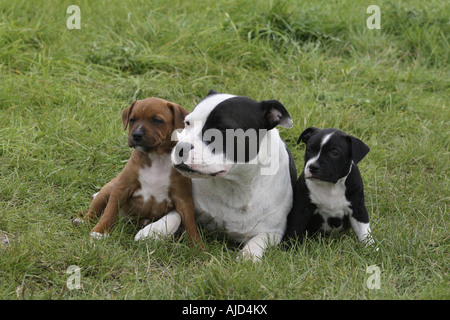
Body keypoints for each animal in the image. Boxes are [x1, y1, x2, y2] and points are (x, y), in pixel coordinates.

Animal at [74, 97, 201, 245]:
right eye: (132, 119)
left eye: (156, 120)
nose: (136, 135)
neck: (156, 158)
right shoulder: (122, 187)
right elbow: (109, 211)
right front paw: (99, 232)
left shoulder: (183, 198)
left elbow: (190, 223)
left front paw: (197, 246)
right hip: (106, 190)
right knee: (94, 210)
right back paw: (83, 221)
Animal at [145, 90, 296, 260]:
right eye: (187, 123)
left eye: (221, 129)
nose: (180, 147)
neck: (233, 184)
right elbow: (176, 215)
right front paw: (153, 231)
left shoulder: (274, 232)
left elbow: (258, 241)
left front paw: (247, 257)